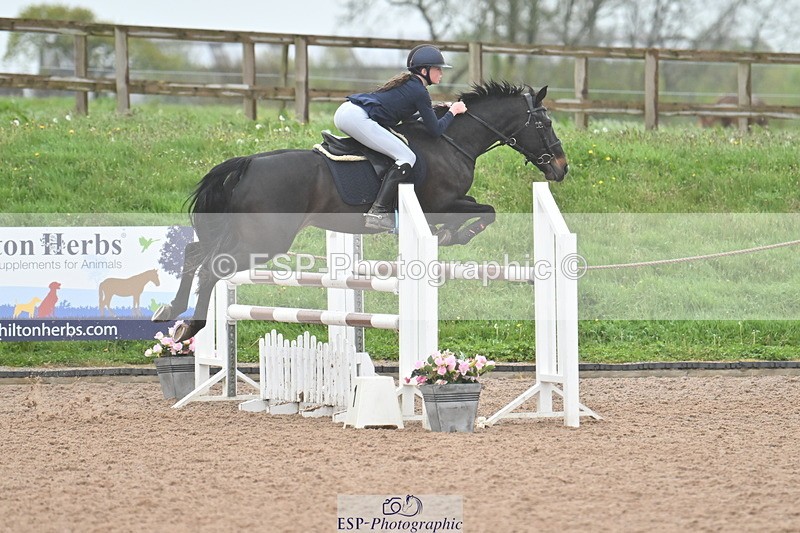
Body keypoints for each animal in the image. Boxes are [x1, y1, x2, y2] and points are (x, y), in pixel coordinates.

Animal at [153, 81, 569, 342]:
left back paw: (171, 311)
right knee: (212, 268)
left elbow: (486, 210)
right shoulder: (438, 206)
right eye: (544, 122)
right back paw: (191, 327)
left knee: (194, 253)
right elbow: (486, 212)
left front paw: (453, 235)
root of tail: (248, 164)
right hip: (265, 240)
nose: (561, 168)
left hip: (241, 232)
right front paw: (453, 235)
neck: (451, 141)